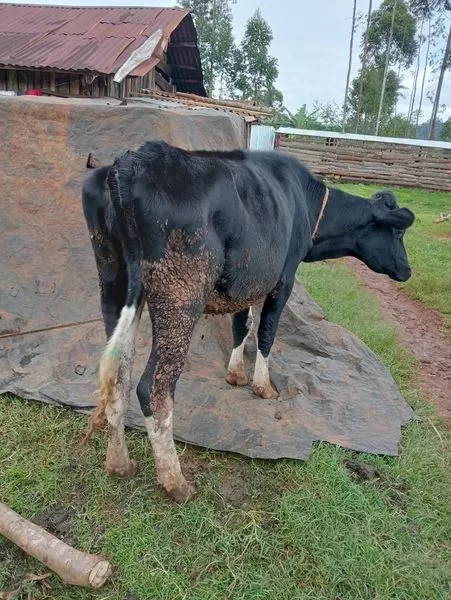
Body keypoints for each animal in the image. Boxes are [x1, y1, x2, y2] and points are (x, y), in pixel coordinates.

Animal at [82, 141, 416, 502]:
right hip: (180, 295)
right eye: (398, 231)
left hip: (113, 280)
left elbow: (242, 324)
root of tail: (130, 164)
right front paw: (262, 385)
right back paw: (175, 482)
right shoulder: (284, 278)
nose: (408, 271)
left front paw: (236, 373)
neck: (307, 204)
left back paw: (119, 464)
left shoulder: (249, 279)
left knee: (119, 375)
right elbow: (267, 332)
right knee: (153, 388)